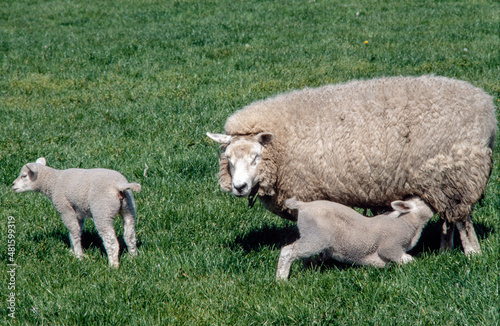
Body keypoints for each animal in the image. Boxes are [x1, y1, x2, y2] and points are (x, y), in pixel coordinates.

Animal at [12, 157, 141, 268]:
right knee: (130, 235)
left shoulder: (65, 208)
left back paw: (113, 265)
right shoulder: (78, 211)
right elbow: (77, 230)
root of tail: (119, 185)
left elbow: (73, 231)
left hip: (103, 211)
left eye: (24, 176)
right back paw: (132, 258)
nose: (13, 185)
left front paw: (79, 256)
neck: (53, 182)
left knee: (111, 241)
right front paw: (72, 251)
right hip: (129, 207)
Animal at [207, 76, 496, 255]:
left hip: (456, 173)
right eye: (228, 159)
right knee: (449, 218)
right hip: (440, 180)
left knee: (462, 219)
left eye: (256, 157)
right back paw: (445, 251)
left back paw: (472, 254)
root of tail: (486, 107)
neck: (282, 147)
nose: (239, 187)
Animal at [276, 196, 436, 280]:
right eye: (424, 202)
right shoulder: (391, 245)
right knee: (288, 251)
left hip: (310, 235)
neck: (407, 223)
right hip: (316, 237)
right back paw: (281, 279)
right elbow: (407, 259)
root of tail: (302, 205)